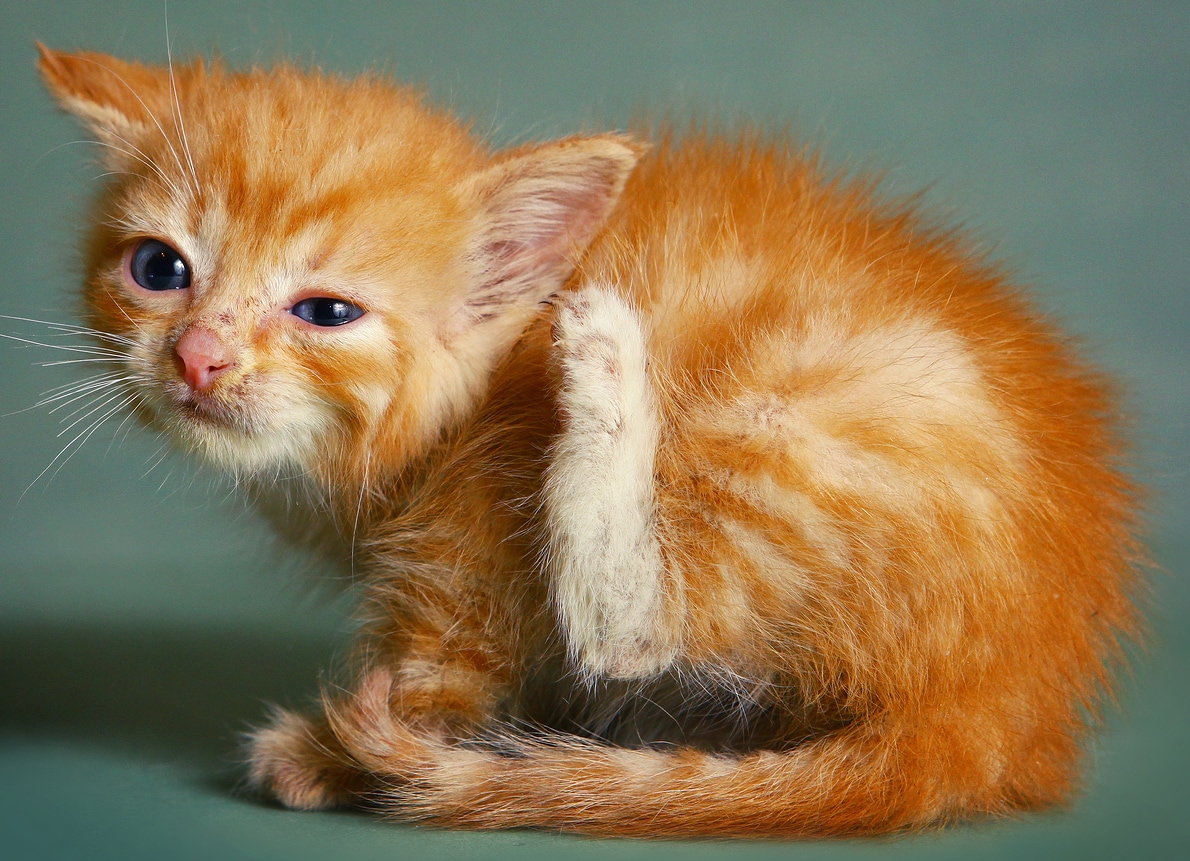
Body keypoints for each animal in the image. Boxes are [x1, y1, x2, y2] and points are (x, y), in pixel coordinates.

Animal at [41, 45, 1147, 832]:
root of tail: (1008, 699)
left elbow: (441, 683)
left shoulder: (473, 535)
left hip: (786, 425)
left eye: (325, 312)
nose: (198, 357)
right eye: (158, 268)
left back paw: (606, 365)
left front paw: (327, 758)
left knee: (640, 628)